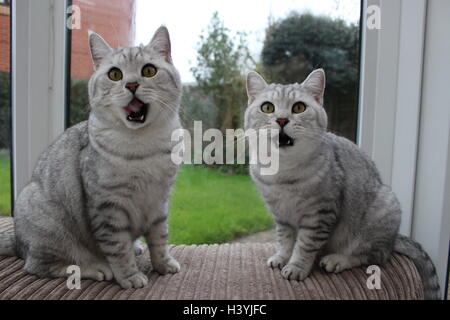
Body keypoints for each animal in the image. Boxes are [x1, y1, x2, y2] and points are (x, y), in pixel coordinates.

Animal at [0, 26, 181, 288]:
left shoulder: (159, 201)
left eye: (149, 70)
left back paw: (137, 247)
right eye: (115, 74)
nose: (132, 84)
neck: (142, 146)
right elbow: (118, 248)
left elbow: (160, 237)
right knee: (40, 266)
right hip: (48, 226)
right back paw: (96, 268)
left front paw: (163, 264)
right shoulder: (108, 207)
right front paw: (129, 276)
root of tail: (18, 242)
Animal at [246, 69, 440, 298]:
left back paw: (336, 259)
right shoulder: (281, 215)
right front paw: (281, 257)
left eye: (299, 107)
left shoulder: (320, 214)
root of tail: (394, 239)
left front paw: (296, 267)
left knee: (374, 256)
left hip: (382, 211)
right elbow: (284, 239)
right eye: (267, 107)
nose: (282, 120)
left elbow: (305, 245)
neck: (283, 172)